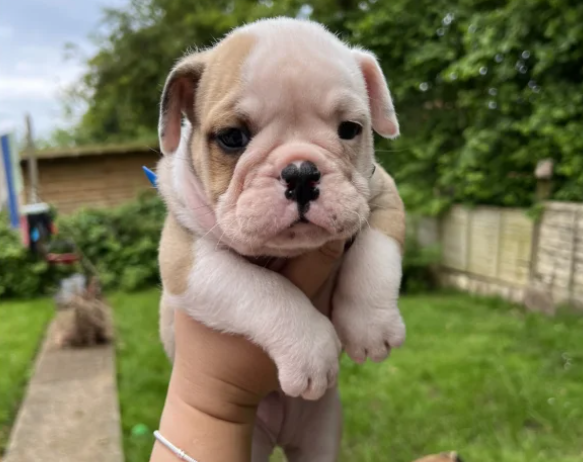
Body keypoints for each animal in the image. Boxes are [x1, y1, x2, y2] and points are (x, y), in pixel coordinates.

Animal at [157, 16, 408, 460]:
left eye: (350, 129)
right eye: (232, 137)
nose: (301, 172)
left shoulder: (382, 198)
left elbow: (375, 257)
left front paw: (370, 327)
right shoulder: (187, 259)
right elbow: (259, 288)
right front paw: (310, 349)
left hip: (320, 432)